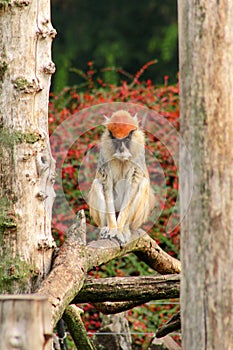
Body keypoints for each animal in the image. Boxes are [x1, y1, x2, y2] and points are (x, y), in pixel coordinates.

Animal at [87, 110, 155, 245]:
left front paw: (119, 230)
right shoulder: (105, 151)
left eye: (127, 138)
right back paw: (105, 227)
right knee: (97, 183)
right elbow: (106, 184)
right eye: (116, 139)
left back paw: (125, 228)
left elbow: (133, 184)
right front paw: (113, 228)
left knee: (143, 184)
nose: (122, 149)